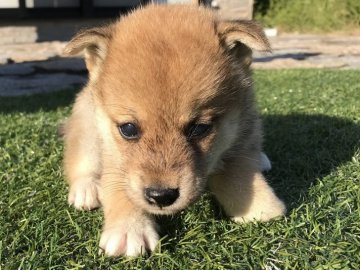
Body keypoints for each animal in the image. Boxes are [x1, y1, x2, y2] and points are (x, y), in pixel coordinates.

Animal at [62, 4, 286, 258]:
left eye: (199, 128)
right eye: (128, 129)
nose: (161, 196)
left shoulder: (240, 134)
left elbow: (237, 171)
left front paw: (260, 206)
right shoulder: (113, 156)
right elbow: (119, 187)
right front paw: (130, 228)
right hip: (86, 125)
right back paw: (86, 188)